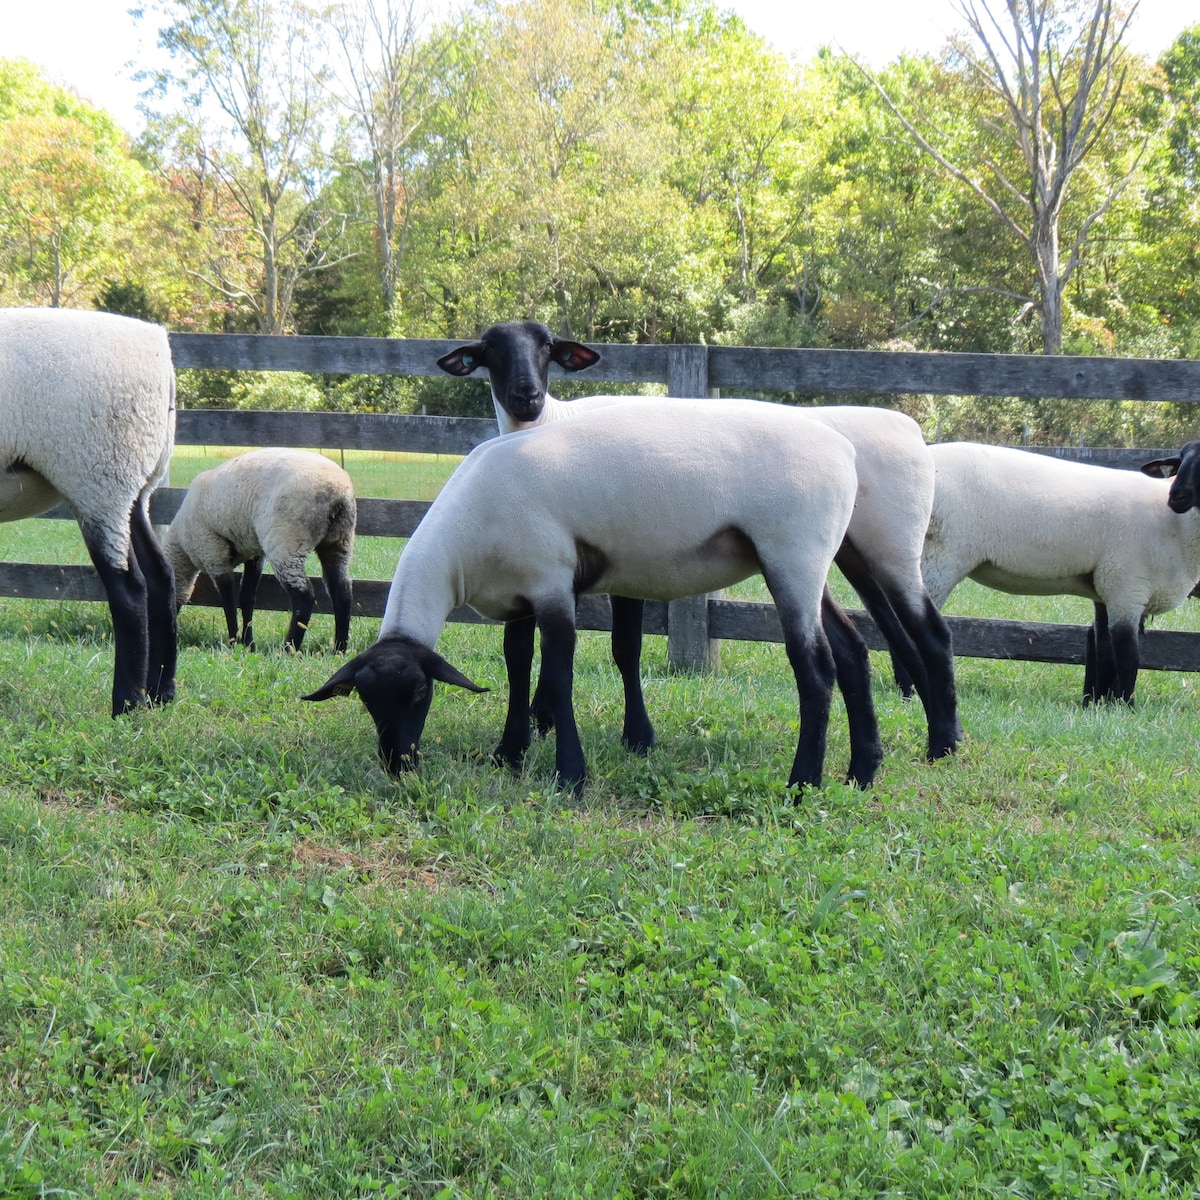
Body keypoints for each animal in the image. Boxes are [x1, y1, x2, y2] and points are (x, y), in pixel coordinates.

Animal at [0, 304, 176, 710]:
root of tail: (159, 345)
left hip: (99, 473)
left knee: (130, 590)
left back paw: (126, 704)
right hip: (132, 487)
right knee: (161, 577)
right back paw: (160, 693)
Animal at [166, 451, 357, 657]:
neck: (181, 547)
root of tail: (337, 494)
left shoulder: (213, 553)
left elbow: (228, 600)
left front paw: (233, 642)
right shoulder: (254, 553)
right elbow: (247, 597)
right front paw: (248, 644)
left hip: (287, 542)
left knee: (304, 596)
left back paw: (289, 649)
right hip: (339, 541)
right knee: (342, 591)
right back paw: (340, 648)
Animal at [300, 396, 883, 796]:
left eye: (421, 694)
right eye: (366, 699)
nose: (397, 763)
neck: (466, 540)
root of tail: (845, 451)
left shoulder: (553, 584)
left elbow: (557, 679)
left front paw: (570, 776)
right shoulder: (519, 593)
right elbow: (517, 668)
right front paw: (508, 754)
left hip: (792, 551)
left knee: (816, 666)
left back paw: (803, 783)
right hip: (810, 563)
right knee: (853, 651)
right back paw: (862, 771)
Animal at [436, 321, 960, 758]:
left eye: (547, 347)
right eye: (490, 351)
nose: (527, 396)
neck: (549, 424)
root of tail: (909, 426)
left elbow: (623, 647)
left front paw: (632, 736)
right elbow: (520, 648)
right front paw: (533, 725)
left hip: (890, 544)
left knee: (930, 632)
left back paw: (943, 742)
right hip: (849, 553)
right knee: (891, 636)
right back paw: (924, 736)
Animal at [902, 441, 1200, 700]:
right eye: (1181, 461)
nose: (1177, 497)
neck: (1175, 526)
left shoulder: (1107, 587)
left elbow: (1104, 651)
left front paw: (1099, 706)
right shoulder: (1127, 587)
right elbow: (1127, 657)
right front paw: (1125, 706)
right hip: (940, 555)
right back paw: (911, 691)